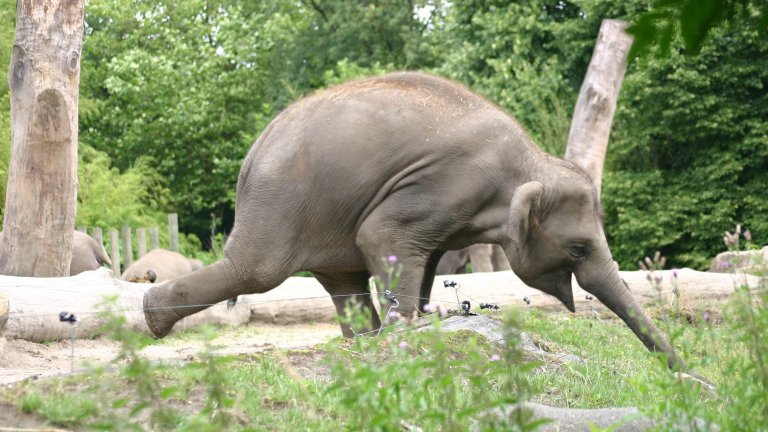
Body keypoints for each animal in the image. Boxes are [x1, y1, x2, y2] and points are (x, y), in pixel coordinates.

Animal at [144, 71, 684, 372]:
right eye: (578, 249)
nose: (688, 378)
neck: (530, 163)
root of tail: (253, 153)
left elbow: (423, 256)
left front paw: (424, 320)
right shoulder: (447, 184)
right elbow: (382, 236)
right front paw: (409, 331)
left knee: (343, 281)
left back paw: (363, 341)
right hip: (281, 202)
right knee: (257, 271)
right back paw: (152, 318)